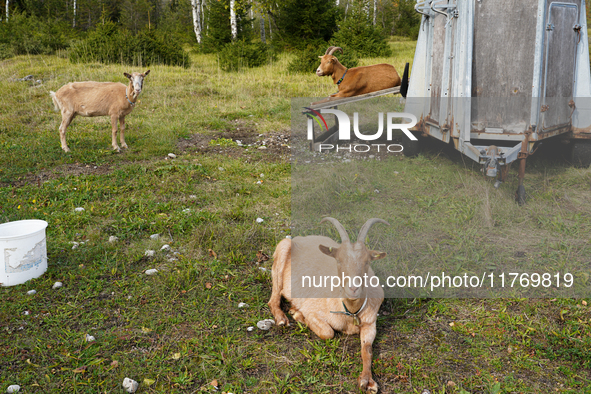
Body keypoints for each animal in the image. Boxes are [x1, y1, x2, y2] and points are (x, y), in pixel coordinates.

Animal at [268, 217, 388, 392]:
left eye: (367, 262)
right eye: (338, 260)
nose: (353, 288)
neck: (350, 312)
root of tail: (302, 238)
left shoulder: (370, 323)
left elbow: (367, 349)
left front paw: (367, 381)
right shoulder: (313, 309)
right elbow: (328, 332)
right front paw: (299, 316)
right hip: (282, 250)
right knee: (274, 297)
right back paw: (283, 318)